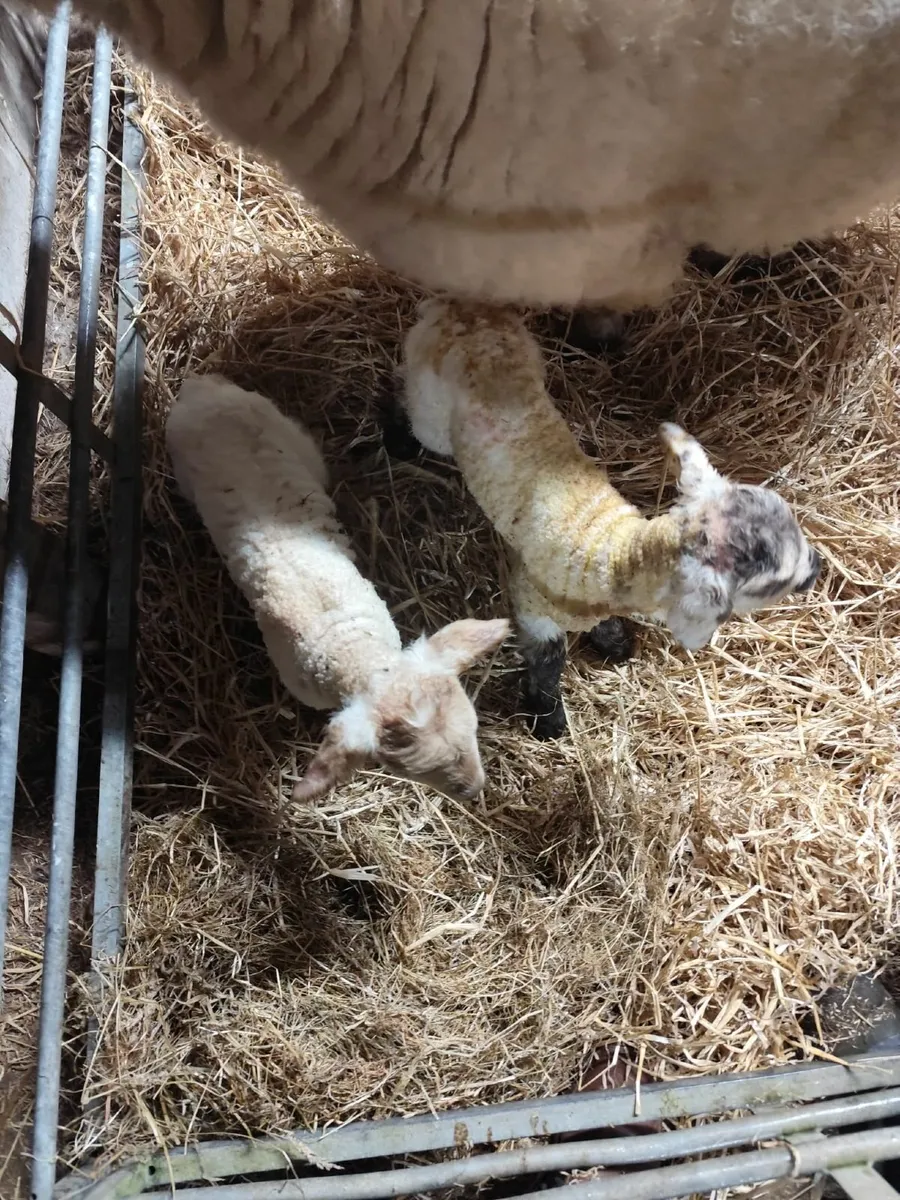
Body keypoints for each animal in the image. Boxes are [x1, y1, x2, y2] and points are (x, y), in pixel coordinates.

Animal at [396, 299, 821, 739]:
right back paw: (399, 441)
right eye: (773, 584)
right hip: (430, 407)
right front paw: (548, 717)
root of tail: (457, 311)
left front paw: (615, 641)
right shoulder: (532, 606)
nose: (817, 568)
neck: (616, 549)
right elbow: (549, 658)